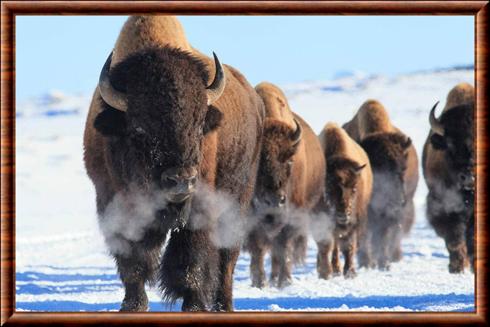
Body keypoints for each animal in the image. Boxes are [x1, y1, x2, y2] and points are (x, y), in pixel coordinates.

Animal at [83, 16, 264, 312]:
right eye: (139, 129)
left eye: (199, 124)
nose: (180, 180)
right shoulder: (112, 201)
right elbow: (133, 261)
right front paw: (132, 305)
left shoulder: (200, 204)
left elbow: (191, 260)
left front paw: (193, 306)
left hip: (238, 197)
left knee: (227, 257)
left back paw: (223, 306)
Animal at [245, 82, 326, 290]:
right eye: (258, 161)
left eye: (289, 161)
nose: (274, 201)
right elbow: (258, 248)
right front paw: (259, 282)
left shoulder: (291, 216)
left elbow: (283, 247)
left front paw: (285, 281)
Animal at [316, 123, 374, 280]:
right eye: (329, 188)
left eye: (354, 188)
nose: (343, 214)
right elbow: (327, 245)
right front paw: (326, 272)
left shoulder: (354, 223)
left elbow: (349, 246)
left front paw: (350, 273)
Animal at [342, 100, 420, 272]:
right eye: (378, 168)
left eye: (403, 169)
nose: (398, 200)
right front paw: (367, 263)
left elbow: (383, 237)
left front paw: (384, 263)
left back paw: (394, 257)